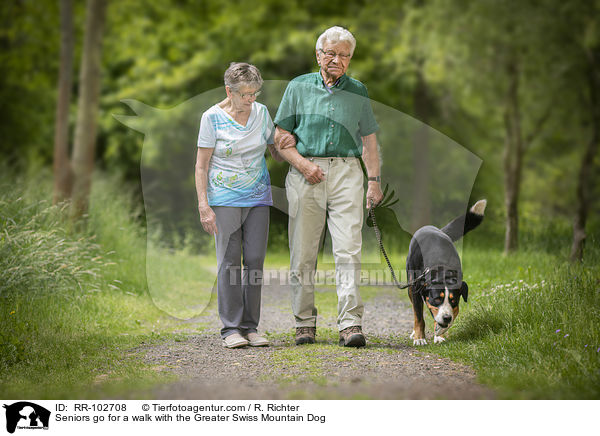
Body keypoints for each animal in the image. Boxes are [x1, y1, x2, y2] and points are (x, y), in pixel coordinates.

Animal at [406, 199, 486, 346]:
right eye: (437, 298)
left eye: (453, 300)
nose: (447, 318)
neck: (441, 268)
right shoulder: (415, 289)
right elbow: (418, 316)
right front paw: (419, 338)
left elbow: (454, 312)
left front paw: (440, 333)